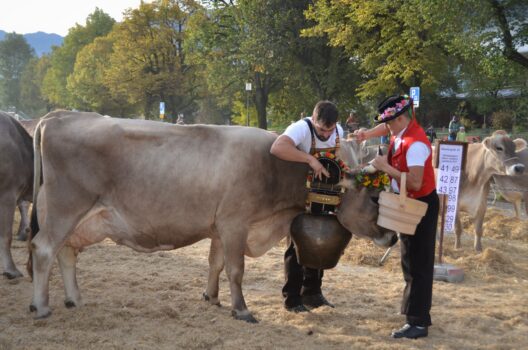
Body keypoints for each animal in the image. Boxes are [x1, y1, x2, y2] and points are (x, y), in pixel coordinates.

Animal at [27, 110, 396, 322]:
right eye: (375, 197)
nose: (392, 236)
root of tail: (57, 117)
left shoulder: (219, 227)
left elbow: (215, 264)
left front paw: (212, 298)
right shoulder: (235, 223)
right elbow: (236, 269)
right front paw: (241, 309)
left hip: (77, 217)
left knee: (66, 253)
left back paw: (74, 299)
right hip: (66, 207)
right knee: (44, 249)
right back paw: (41, 306)